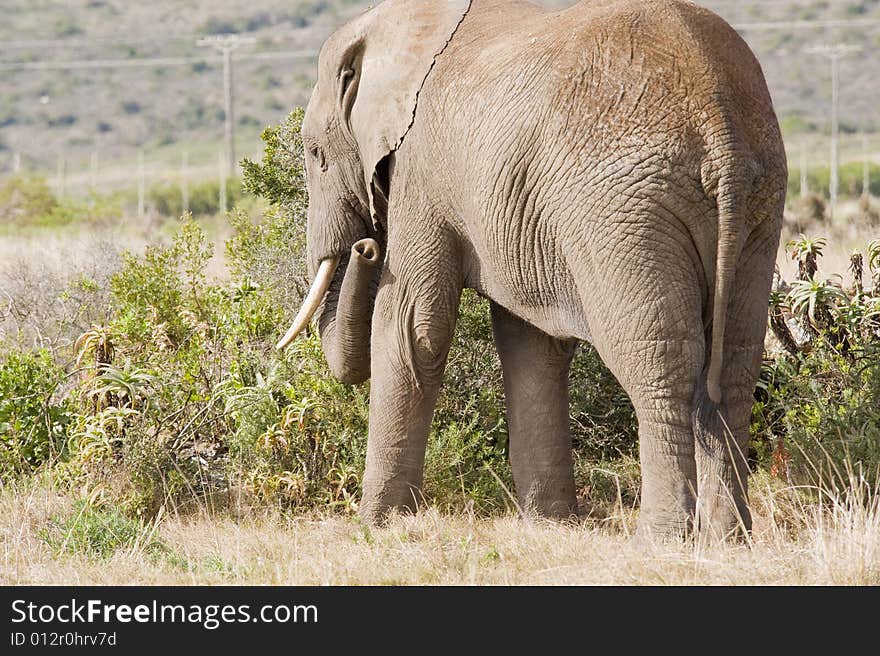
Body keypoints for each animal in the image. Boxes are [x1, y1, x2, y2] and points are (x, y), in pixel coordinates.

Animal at [278, 0, 788, 540]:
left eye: (315, 154)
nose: (367, 246)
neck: (390, 27)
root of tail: (720, 127)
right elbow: (531, 342)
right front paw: (550, 523)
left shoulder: (421, 173)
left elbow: (411, 326)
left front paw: (378, 525)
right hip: (759, 202)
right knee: (735, 364)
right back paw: (731, 538)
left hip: (624, 212)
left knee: (658, 364)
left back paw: (661, 537)